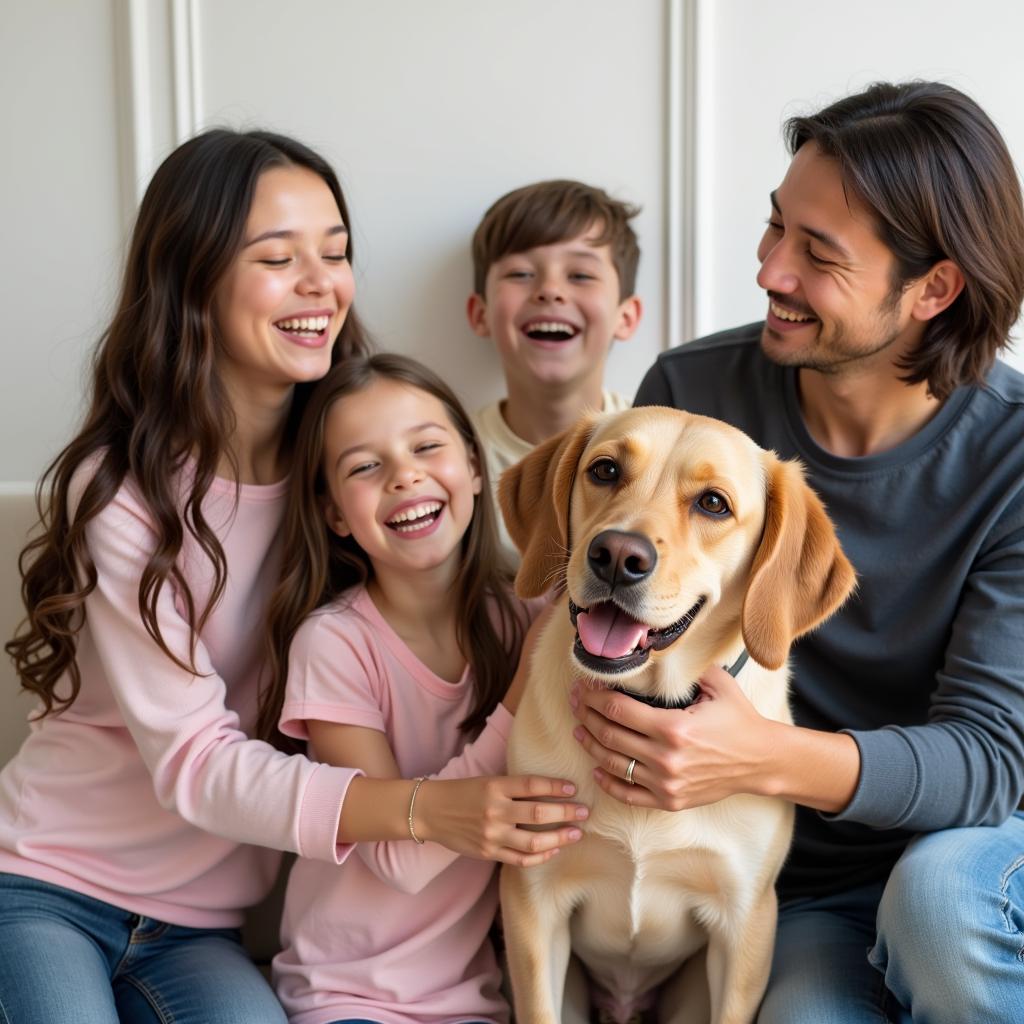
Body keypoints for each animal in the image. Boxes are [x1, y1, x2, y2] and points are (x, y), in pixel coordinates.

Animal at [499, 407, 851, 1024]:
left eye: (713, 503)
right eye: (605, 470)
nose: (618, 555)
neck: (648, 699)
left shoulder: (746, 924)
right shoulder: (531, 903)